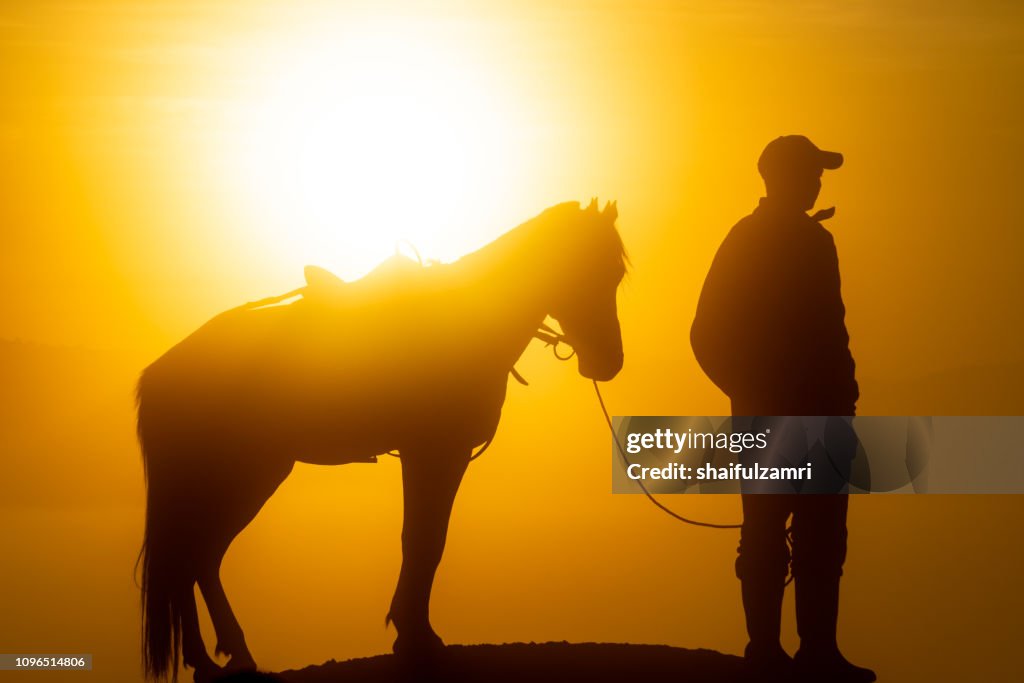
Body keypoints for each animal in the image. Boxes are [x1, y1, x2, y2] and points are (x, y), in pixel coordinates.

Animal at [136, 200, 622, 679]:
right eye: (588, 267)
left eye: (616, 272)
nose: (609, 361)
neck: (465, 319)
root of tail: (165, 370)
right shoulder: (435, 452)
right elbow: (424, 541)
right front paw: (416, 637)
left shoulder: (439, 454)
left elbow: (426, 540)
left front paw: (413, 632)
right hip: (245, 476)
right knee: (193, 555)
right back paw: (219, 656)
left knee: (195, 558)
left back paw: (218, 657)